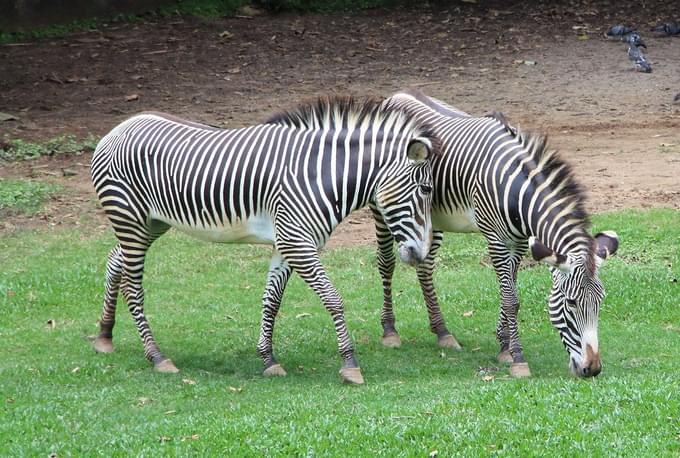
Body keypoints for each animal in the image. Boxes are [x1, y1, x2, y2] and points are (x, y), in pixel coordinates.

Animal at [90, 97, 438, 386]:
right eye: (425, 190)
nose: (419, 254)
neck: (321, 175)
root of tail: (119, 128)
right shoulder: (296, 242)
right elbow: (333, 299)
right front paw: (350, 364)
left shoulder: (287, 244)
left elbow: (271, 300)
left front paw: (268, 359)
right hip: (130, 218)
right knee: (133, 287)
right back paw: (157, 357)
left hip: (151, 223)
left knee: (114, 260)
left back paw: (105, 335)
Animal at [370, 90, 620, 380]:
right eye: (571, 303)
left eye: (600, 302)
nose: (592, 369)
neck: (517, 193)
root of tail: (396, 95)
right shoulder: (496, 240)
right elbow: (511, 299)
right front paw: (517, 358)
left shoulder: (520, 242)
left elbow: (510, 292)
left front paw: (504, 345)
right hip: (383, 210)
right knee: (386, 263)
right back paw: (390, 331)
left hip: (430, 217)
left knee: (425, 267)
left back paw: (442, 332)